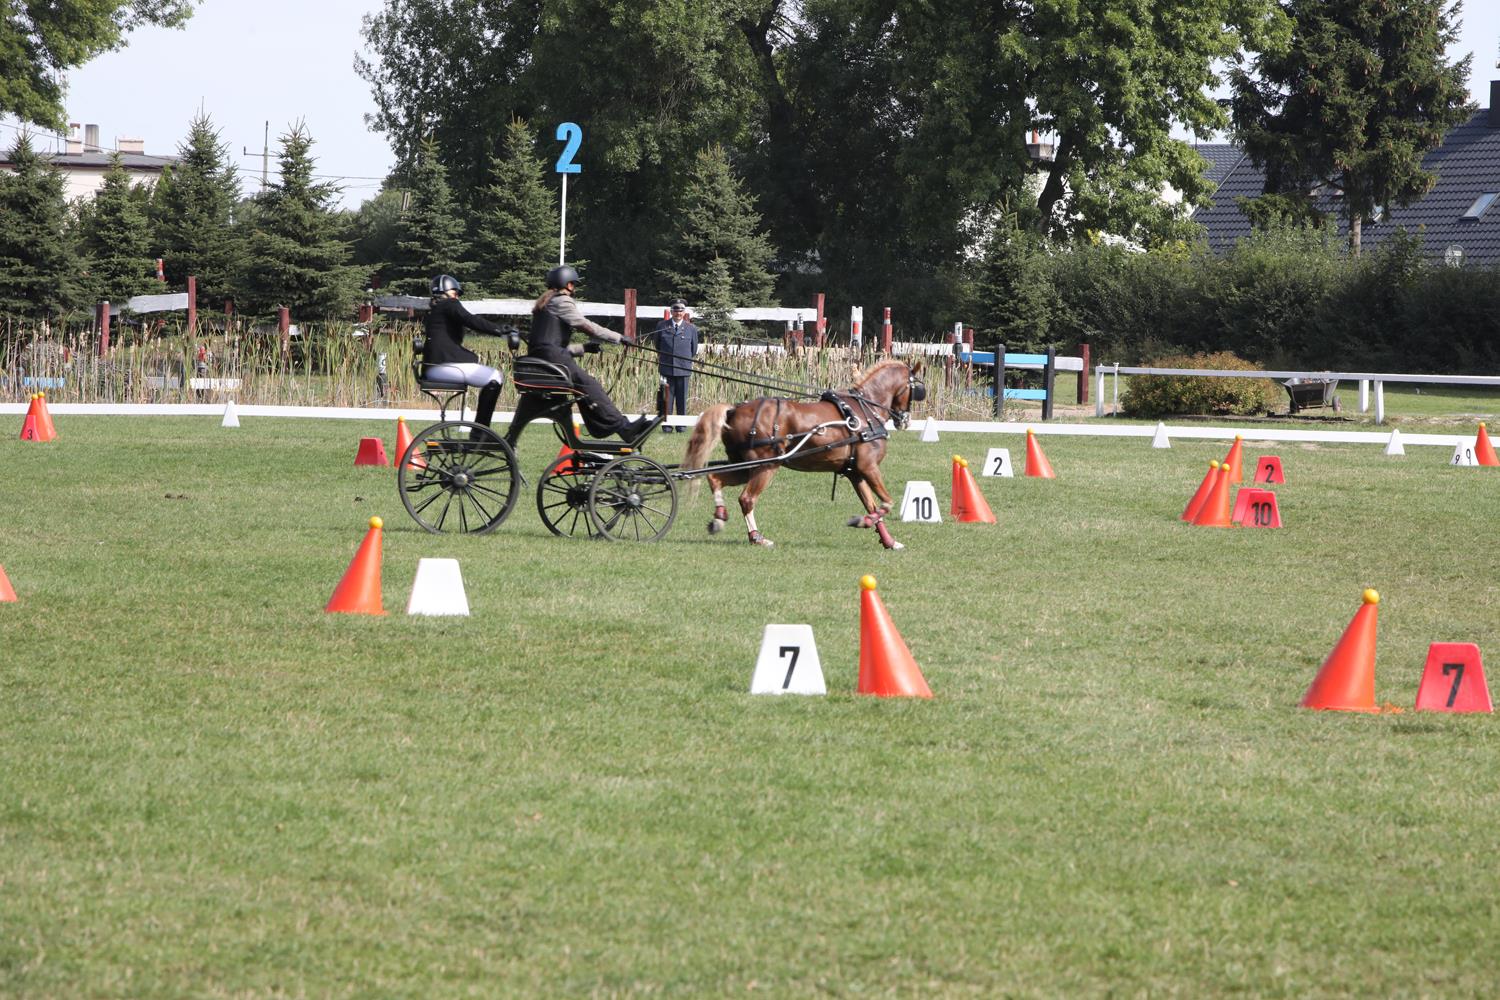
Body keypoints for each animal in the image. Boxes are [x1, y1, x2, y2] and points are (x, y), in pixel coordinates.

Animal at [681, 359, 926, 549]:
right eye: (916, 389)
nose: (905, 420)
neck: (865, 410)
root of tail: (733, 410)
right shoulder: (869, 468)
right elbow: (887, 503)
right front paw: (861, 521)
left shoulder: (855, 472)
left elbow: (873, 506)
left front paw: (889, 542)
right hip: (765, 465)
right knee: (747, 499)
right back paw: (757, 538)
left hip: (744, 466)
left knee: (715, 478)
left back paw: (719, 518)